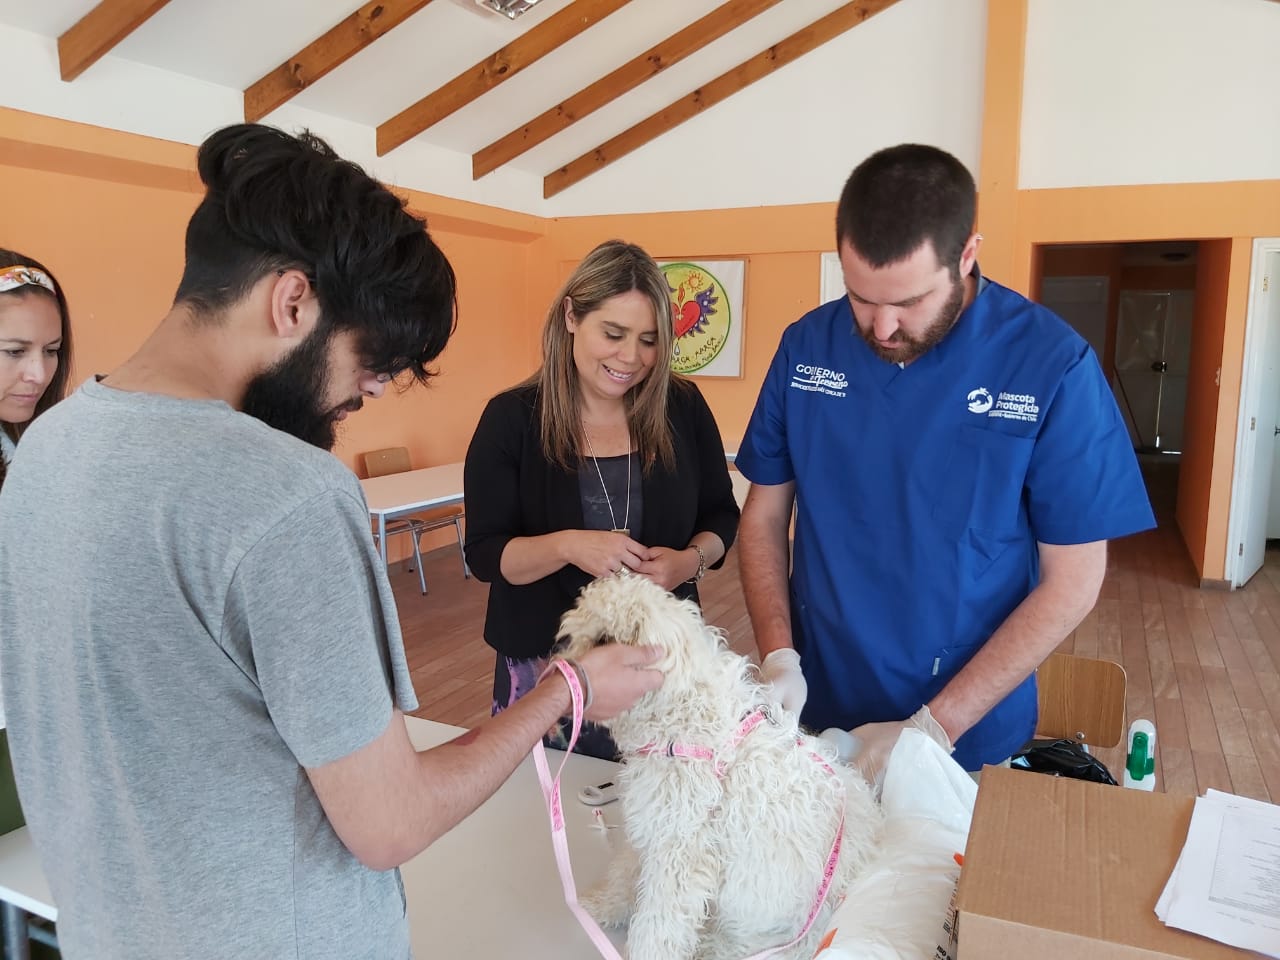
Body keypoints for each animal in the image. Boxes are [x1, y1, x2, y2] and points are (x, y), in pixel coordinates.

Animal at [555, 573, 883, 960]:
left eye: (604, 640)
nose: (559, 660)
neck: (683, 716)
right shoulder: (656, 828)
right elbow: (624, 873)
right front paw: (599, 905)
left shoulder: (681, 851)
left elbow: (658, 925)